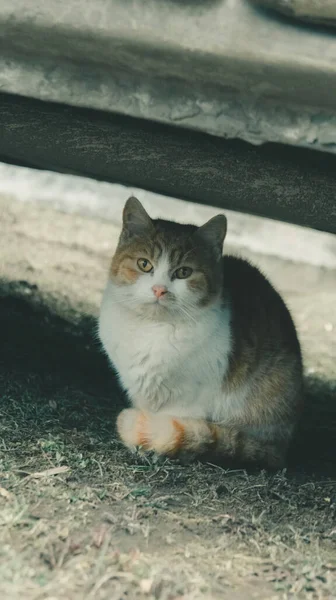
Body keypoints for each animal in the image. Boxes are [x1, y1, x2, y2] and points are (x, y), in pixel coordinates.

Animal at [98, 197, 304, 468]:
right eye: (144, 264)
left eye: (183, 272)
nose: (159, 289)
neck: (154, 328)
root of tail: (282, 449)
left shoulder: (189, 400)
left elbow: (175, 427)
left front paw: (156, 444)